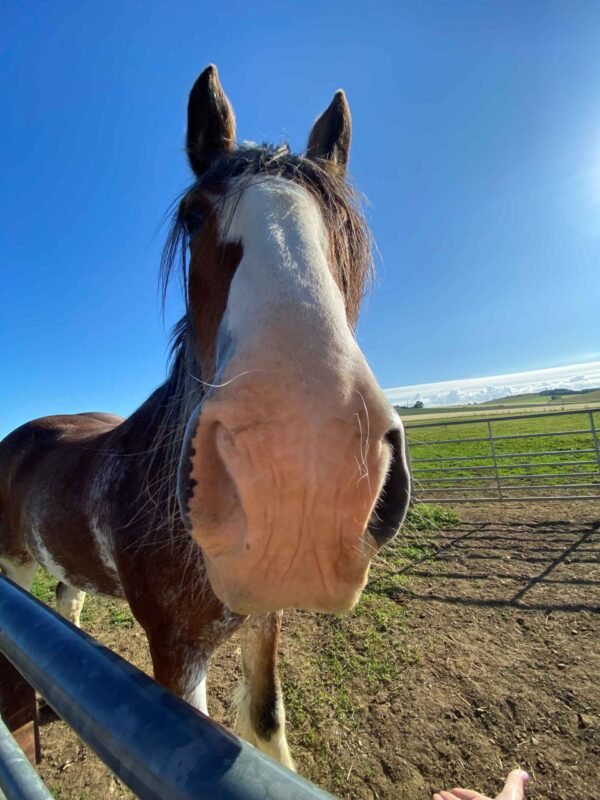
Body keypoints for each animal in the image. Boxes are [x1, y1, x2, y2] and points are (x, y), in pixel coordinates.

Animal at [0, 64, 410, 768]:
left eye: (343, 224)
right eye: (193, 216)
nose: (303, 472)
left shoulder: (265, 618)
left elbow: (266, 720)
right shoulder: (176, 650)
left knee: (66, 602)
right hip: (13, 565)